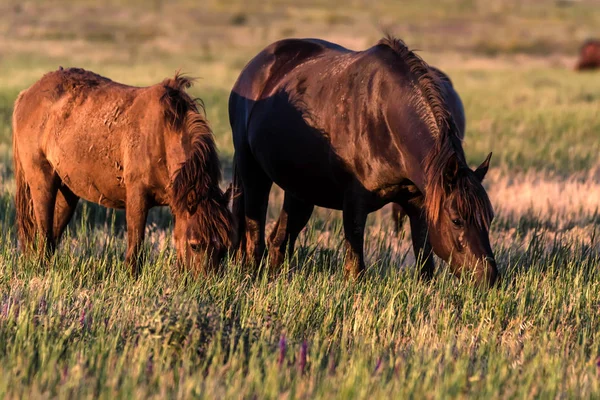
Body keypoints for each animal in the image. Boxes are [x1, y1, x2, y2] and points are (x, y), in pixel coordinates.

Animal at [12, 69, 232, 276]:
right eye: (195, 245)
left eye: (224, 248)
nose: (204, 284)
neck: (163, 134)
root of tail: (26, 94)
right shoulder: (137, 196)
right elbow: (136, 244)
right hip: (42, 182)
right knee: (44, 231)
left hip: (68, 191)